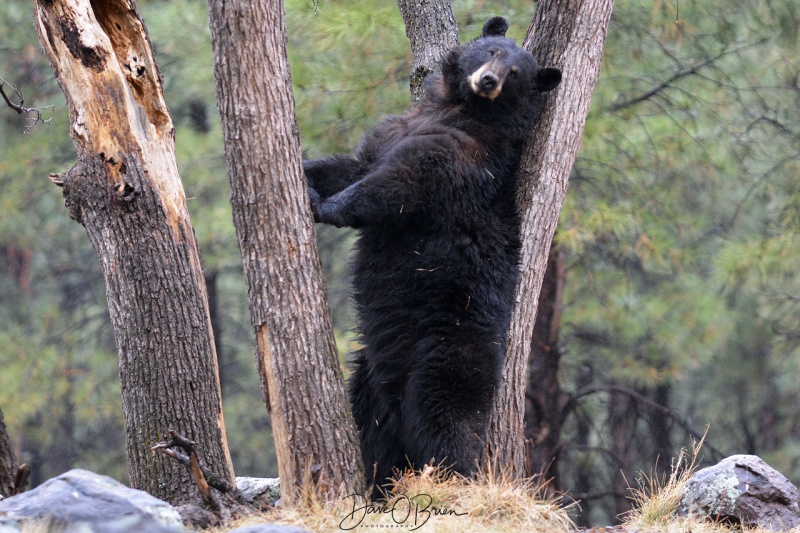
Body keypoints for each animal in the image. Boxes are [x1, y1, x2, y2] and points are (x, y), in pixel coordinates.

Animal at [304, 16, 560, 488]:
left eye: (517, 73)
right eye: (493, 51)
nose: (489, 81)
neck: (457, 108)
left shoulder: (464, 156)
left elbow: (400, 185)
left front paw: (326, 206)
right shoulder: (394, 131)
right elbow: (354, 164)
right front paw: (307, 173)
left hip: (447, 351)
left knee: (444, 420)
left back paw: (452, 480)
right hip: (371, 370)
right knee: (372, 425)